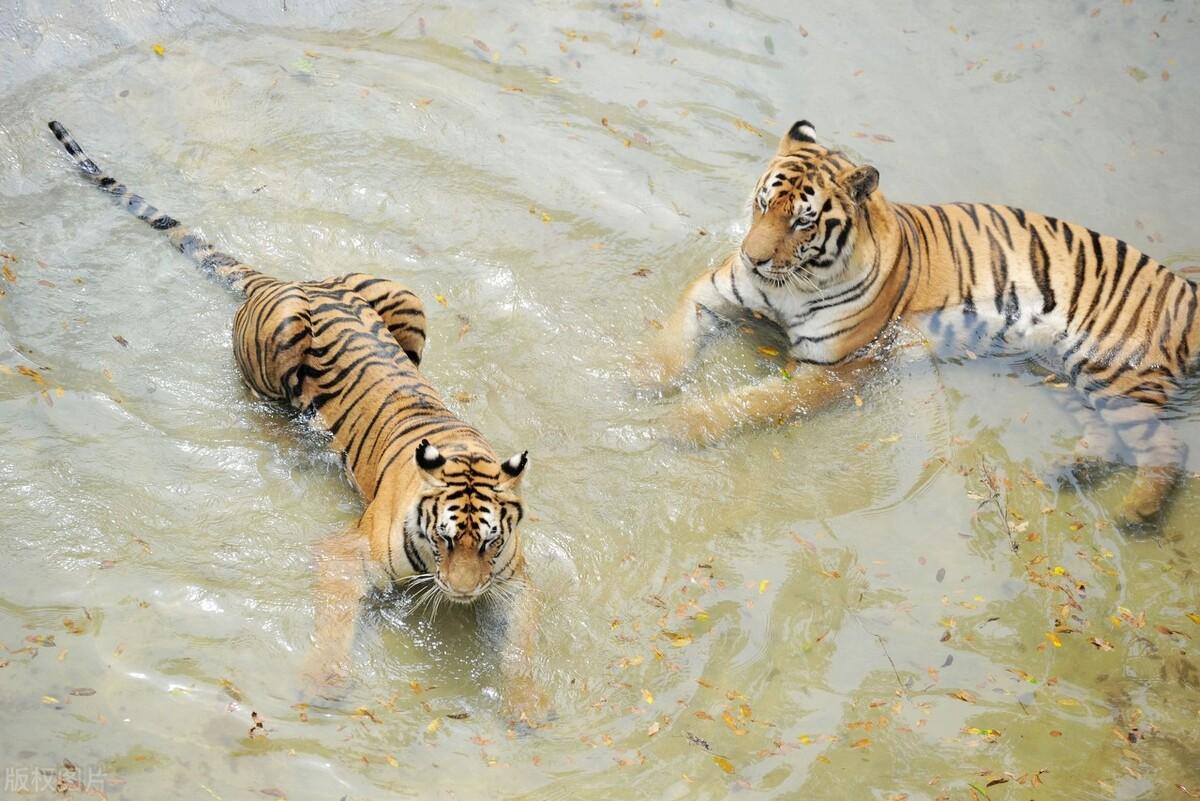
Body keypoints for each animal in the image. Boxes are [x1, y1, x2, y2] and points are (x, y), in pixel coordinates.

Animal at [638, 118, 1200, 532]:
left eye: (802, 221)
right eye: (761, 204)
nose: (752, 259)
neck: (789, 286)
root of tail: (1187, 290)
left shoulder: (835, 367)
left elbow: (755, 402)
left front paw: (678, 425)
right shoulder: (716, 292)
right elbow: (675, 335)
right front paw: (643, 378)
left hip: (1113, 372)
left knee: (1166, 446)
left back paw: (1135, 513)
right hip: (1059, 371)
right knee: (1107, 437)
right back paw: (1069, 472)